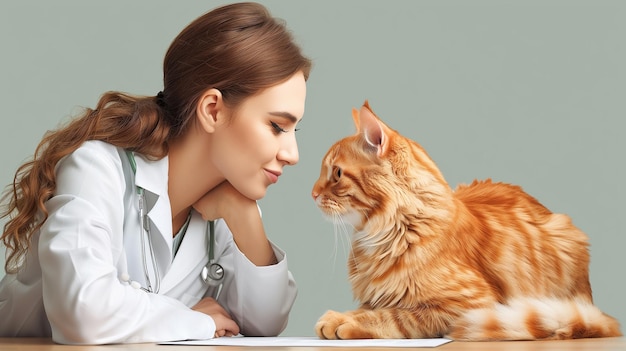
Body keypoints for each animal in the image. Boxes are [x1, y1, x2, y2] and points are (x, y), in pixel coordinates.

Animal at [312, 101, 620, 340]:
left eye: (336, 174)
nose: (312, 194)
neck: (387, 232)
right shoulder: (374, 295)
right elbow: (370, 308)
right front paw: (339, 316)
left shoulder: (469, 305)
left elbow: (394, 316)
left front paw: (345, 322)